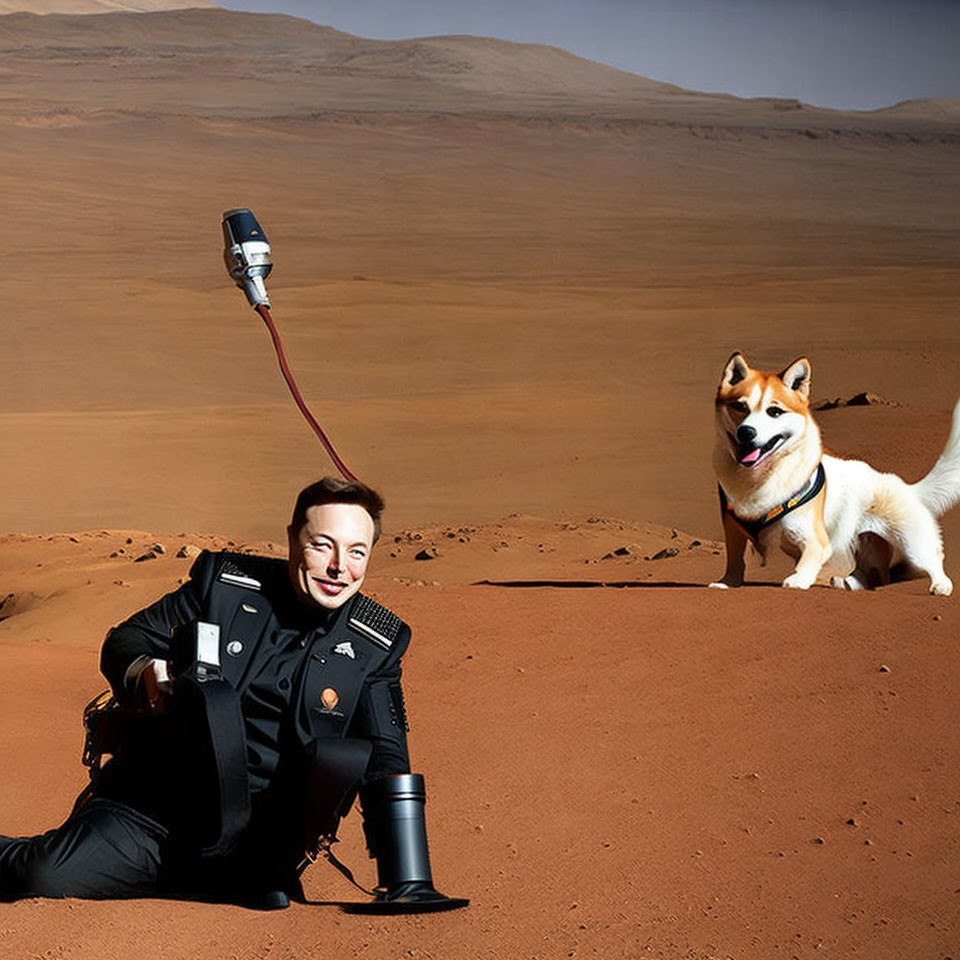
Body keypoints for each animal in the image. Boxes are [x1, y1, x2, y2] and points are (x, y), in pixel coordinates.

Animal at [708, 352, 960, 592]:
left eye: (775, 412)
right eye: (740, 406)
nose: (746, 432)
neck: (757, 478)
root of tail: (905, 487)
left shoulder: (816, 540)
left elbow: (807, 561)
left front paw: (798, 580)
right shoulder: (733, 529)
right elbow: (735, 561)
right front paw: (727, 583)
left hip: (910, 542)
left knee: (932, 562)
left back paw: (941, 586)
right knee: (873, 576)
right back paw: (846, 583)